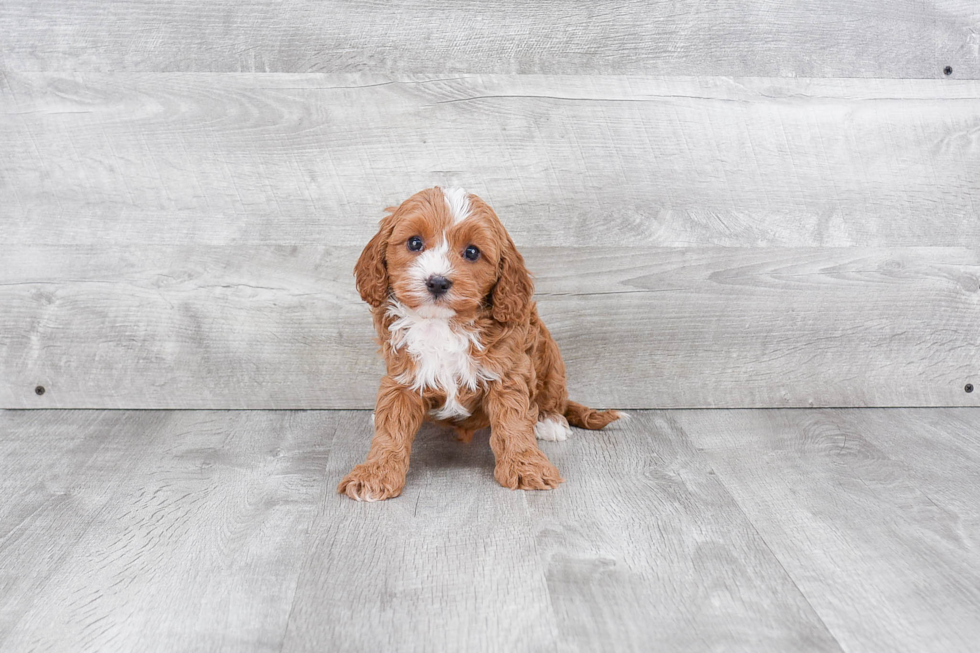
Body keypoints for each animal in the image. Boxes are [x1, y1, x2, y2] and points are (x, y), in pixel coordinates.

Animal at [338, 186, 620, 502]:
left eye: (472, 252)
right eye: (414, 242)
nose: (437, 282)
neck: (443, 324)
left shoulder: (507, 372)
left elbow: (513, 423)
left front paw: (526, 467)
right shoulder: (403, 376)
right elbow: (391, 426)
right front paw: (375, 473)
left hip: (550, 356)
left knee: (551, 397)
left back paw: (550, 421)